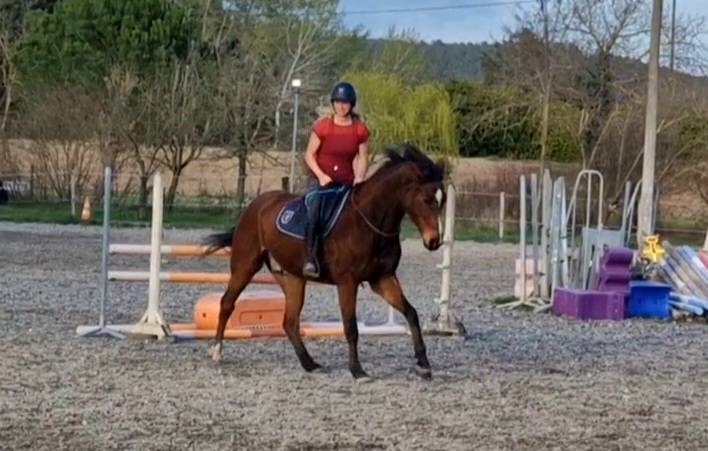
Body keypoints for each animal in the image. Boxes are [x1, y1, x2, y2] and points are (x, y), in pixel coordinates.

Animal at [203, 144, 448, 380]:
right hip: (245, 266)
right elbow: (350, 327)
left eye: (442, 200)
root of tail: (257, 204)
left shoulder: (382, 279)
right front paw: (357, 371)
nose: (434, 241)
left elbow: (411, 313)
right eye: (426, 200)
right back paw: (216, 351)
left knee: (289, 322)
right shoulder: (347, 282)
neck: (370, 222)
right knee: (227, 303)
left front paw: (424, 365)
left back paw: (309, 364)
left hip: (292, 278)